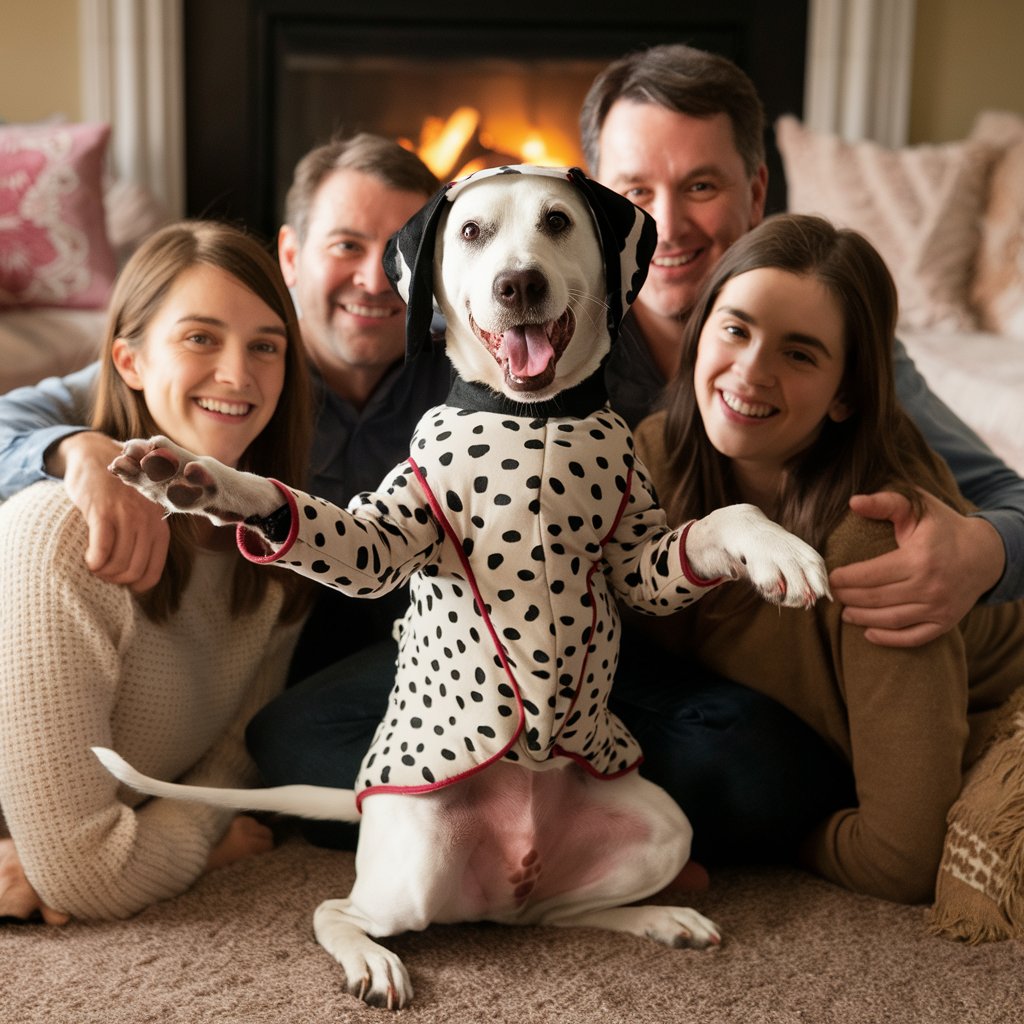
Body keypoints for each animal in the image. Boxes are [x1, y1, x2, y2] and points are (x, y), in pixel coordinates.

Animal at [94, 165, 831, 1007]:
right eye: (472, 232)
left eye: (556, 220)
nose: (519, 284)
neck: (536, 418)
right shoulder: (389, 535)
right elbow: (302, 515)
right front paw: (199, 479)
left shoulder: (635, 552)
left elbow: (715, 525)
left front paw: (775, 552)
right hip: (416, 869)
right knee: (332, 909)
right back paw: (371, 962)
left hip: (663, 827)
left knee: (560, 914)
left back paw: (658, 918)